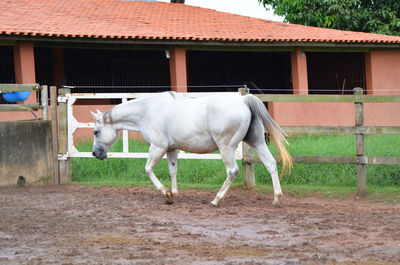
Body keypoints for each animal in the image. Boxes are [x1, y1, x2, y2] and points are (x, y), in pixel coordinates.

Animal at [92, 91, 292, 206]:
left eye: (95, 131)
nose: (95, 153)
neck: (148, 111)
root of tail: (243, 100)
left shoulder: (158, 147)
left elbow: (148, 169)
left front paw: (166, 193)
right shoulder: (171, 149)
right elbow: (173, 171)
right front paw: (173, 194)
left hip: (226, 147)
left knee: (232, 171)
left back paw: (216, 200)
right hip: (257, 142)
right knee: (271, 164)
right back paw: (276, 198)